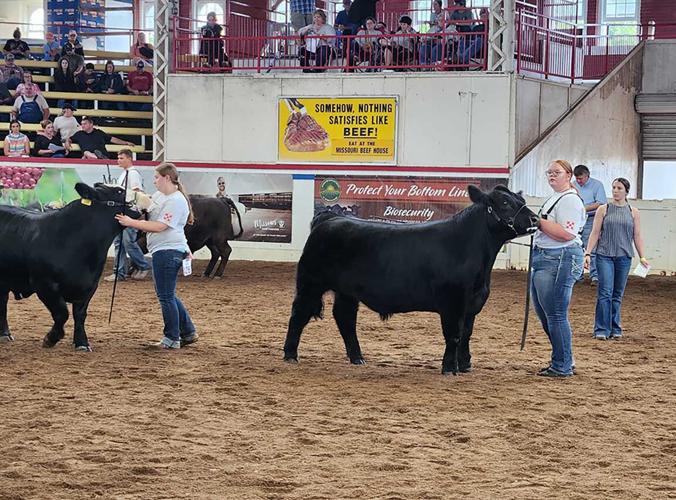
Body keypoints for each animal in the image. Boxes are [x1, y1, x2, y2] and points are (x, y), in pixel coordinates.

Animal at [0, 183, 141, 351]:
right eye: (119, 191)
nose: (140, 192)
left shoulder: (90, 285)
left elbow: (80, 315)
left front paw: (82, 343)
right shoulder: (45, 285)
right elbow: (62, 313)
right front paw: (51, 338)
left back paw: (5, 334)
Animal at [283, 185, 540, 375]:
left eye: (520, 198)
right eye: (504, 203)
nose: (536, 219)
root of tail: (330, 219)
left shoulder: (473, 303)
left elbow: (466, 333)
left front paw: (465, 365)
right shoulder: (453, 301)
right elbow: (454, 334)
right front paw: (449, 368)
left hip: (347, 291)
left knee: (345, 318)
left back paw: (357, 358)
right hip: (310, 283)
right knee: (299, 314)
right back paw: (290, 355)